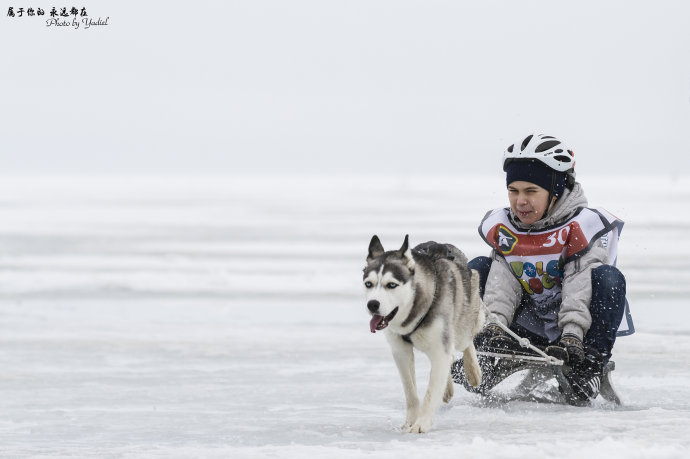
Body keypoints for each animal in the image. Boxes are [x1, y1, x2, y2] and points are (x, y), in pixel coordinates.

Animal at [362, 235, 482, 434]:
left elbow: (431, 391)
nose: (372, 304)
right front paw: (410, 421)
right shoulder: (400, 352)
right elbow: (410, 391)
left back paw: (473, 371)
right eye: (368, 284)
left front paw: (421, 424)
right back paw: (448, 388)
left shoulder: (440, 348)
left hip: (464, 323)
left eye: (391, 285)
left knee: (466, 341)